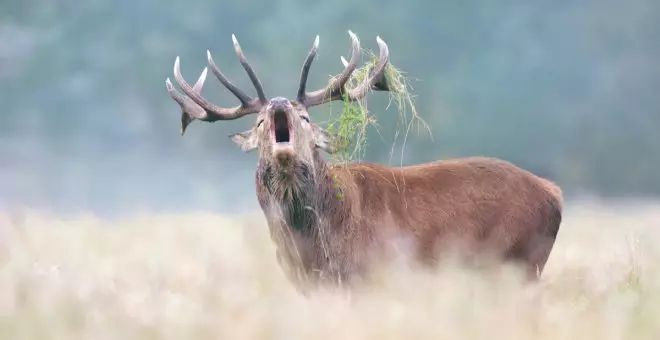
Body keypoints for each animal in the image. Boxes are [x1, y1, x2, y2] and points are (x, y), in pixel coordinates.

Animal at [165, 31, 564, 292]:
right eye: (260, 121)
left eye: (305, 117)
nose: (278, 103)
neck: (314, 244)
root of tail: (554, 194)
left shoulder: (372, 275)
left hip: (520, 262)